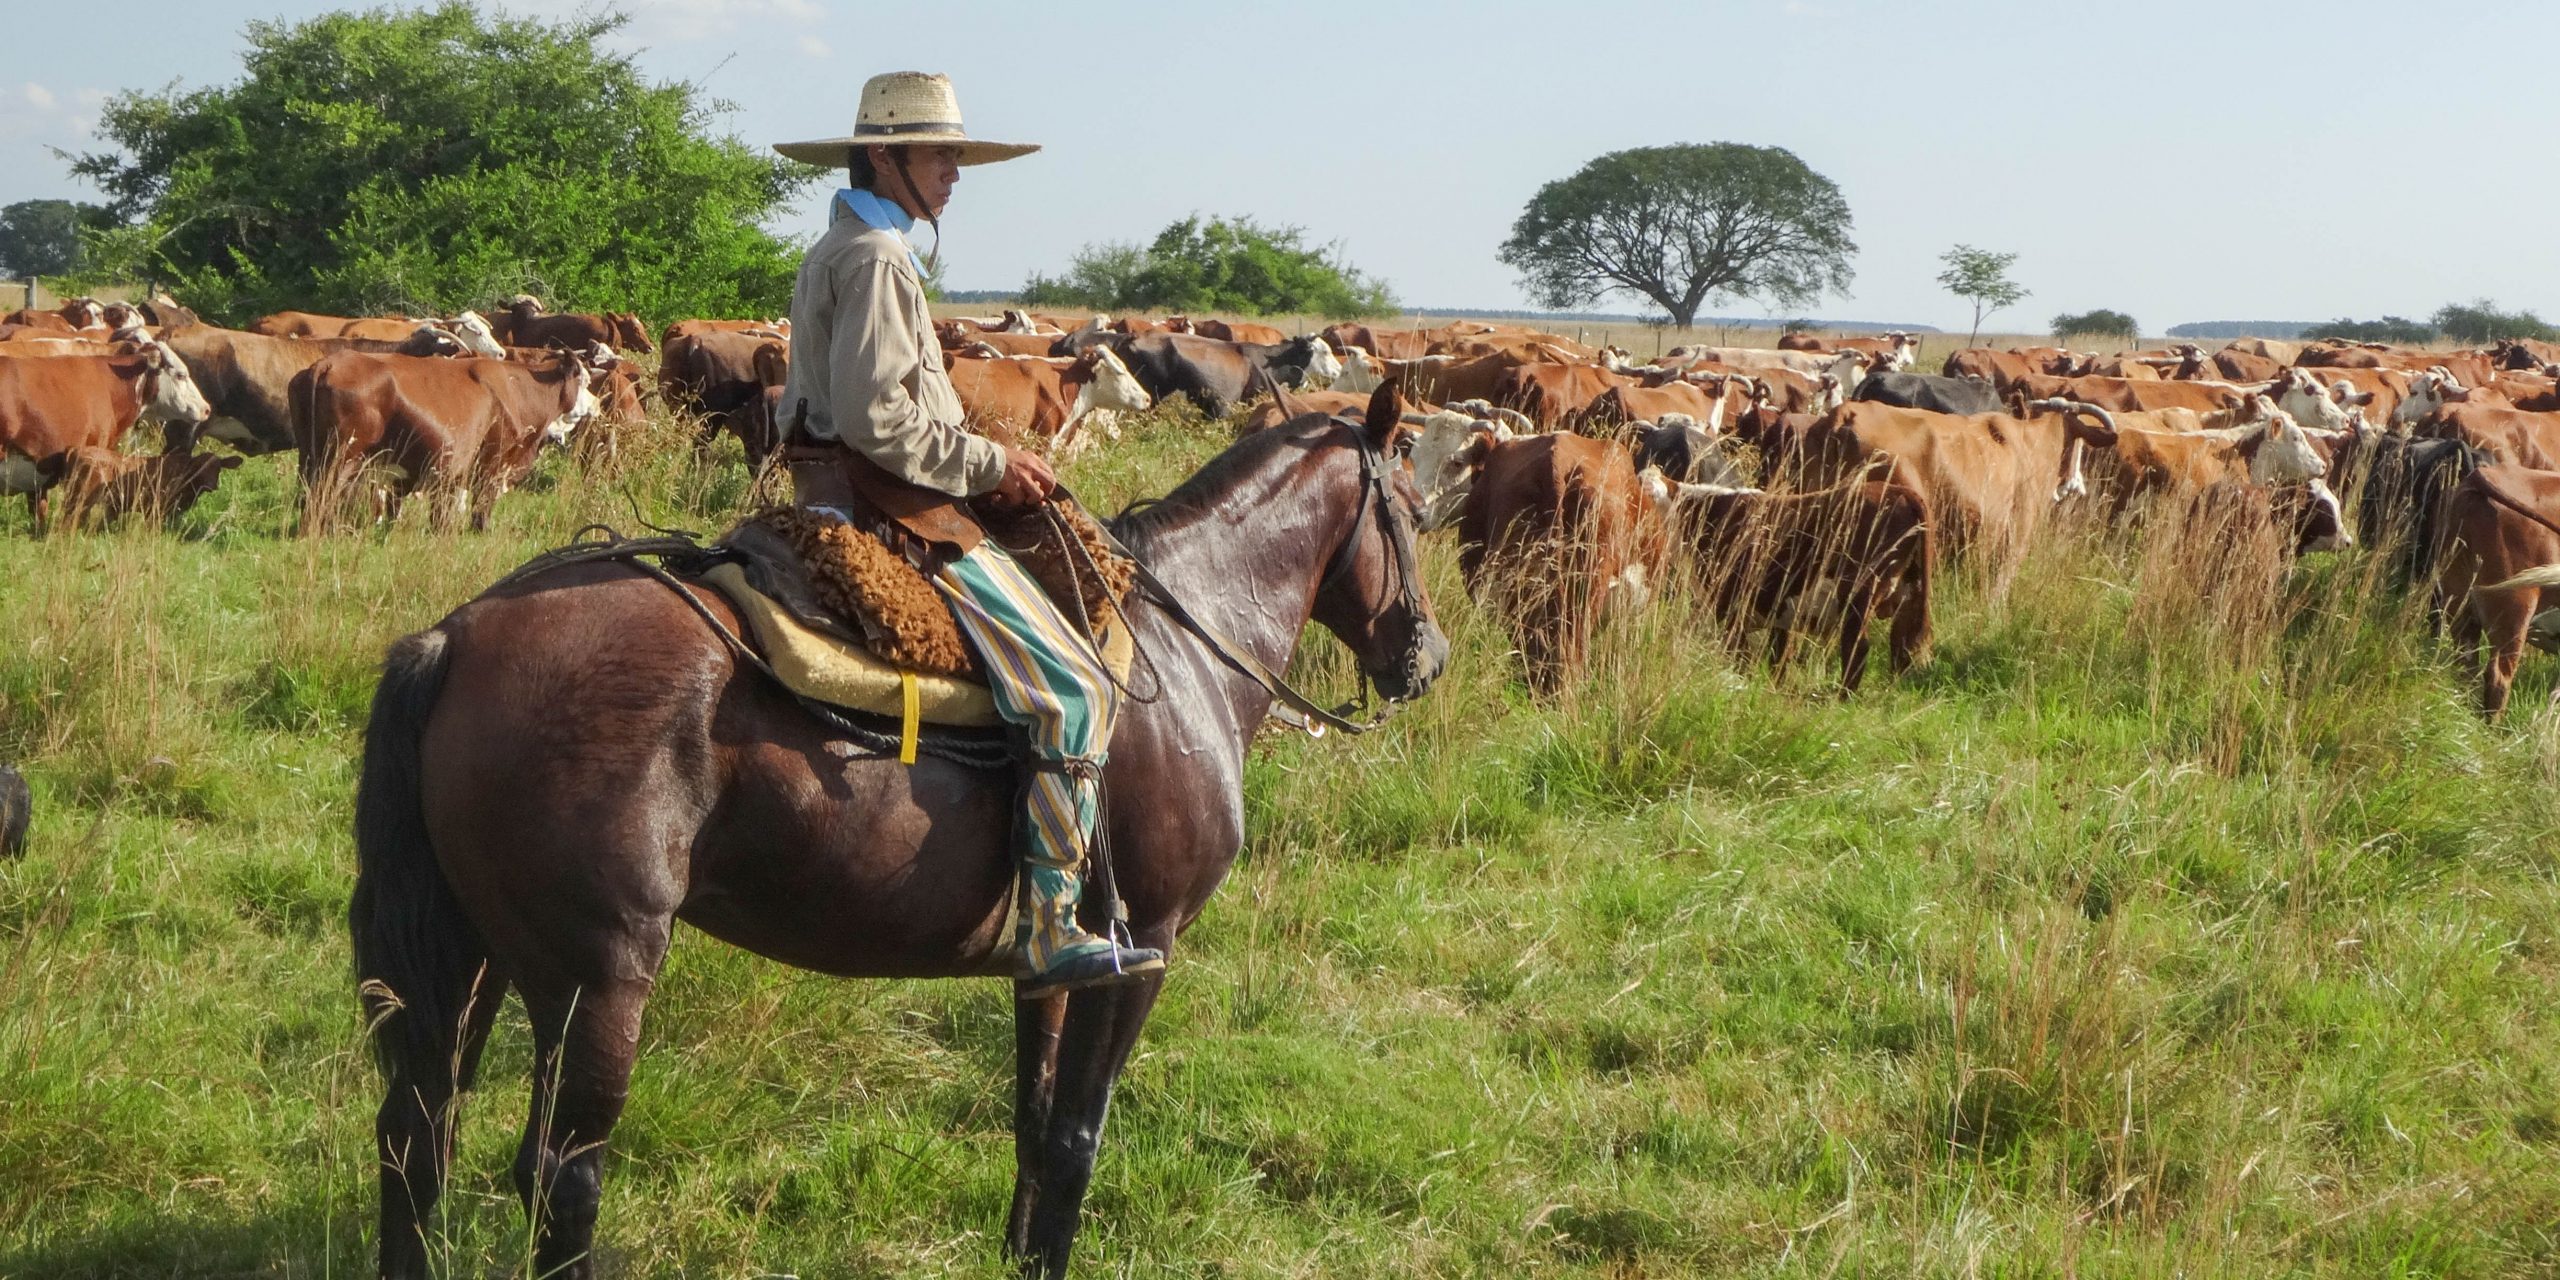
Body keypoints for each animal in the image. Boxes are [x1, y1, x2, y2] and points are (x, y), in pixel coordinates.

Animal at [350, 389, 1454, 1280]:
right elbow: (1077, 1138)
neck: (1180, 656)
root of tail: (455, 636)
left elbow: (1034, 1122)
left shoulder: (1054, 961)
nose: (1429, 657)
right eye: (1410, 508)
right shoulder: (1144, 946)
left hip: (481, 957)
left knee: (418, 1136)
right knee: (560, 1175)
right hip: (597, 978)